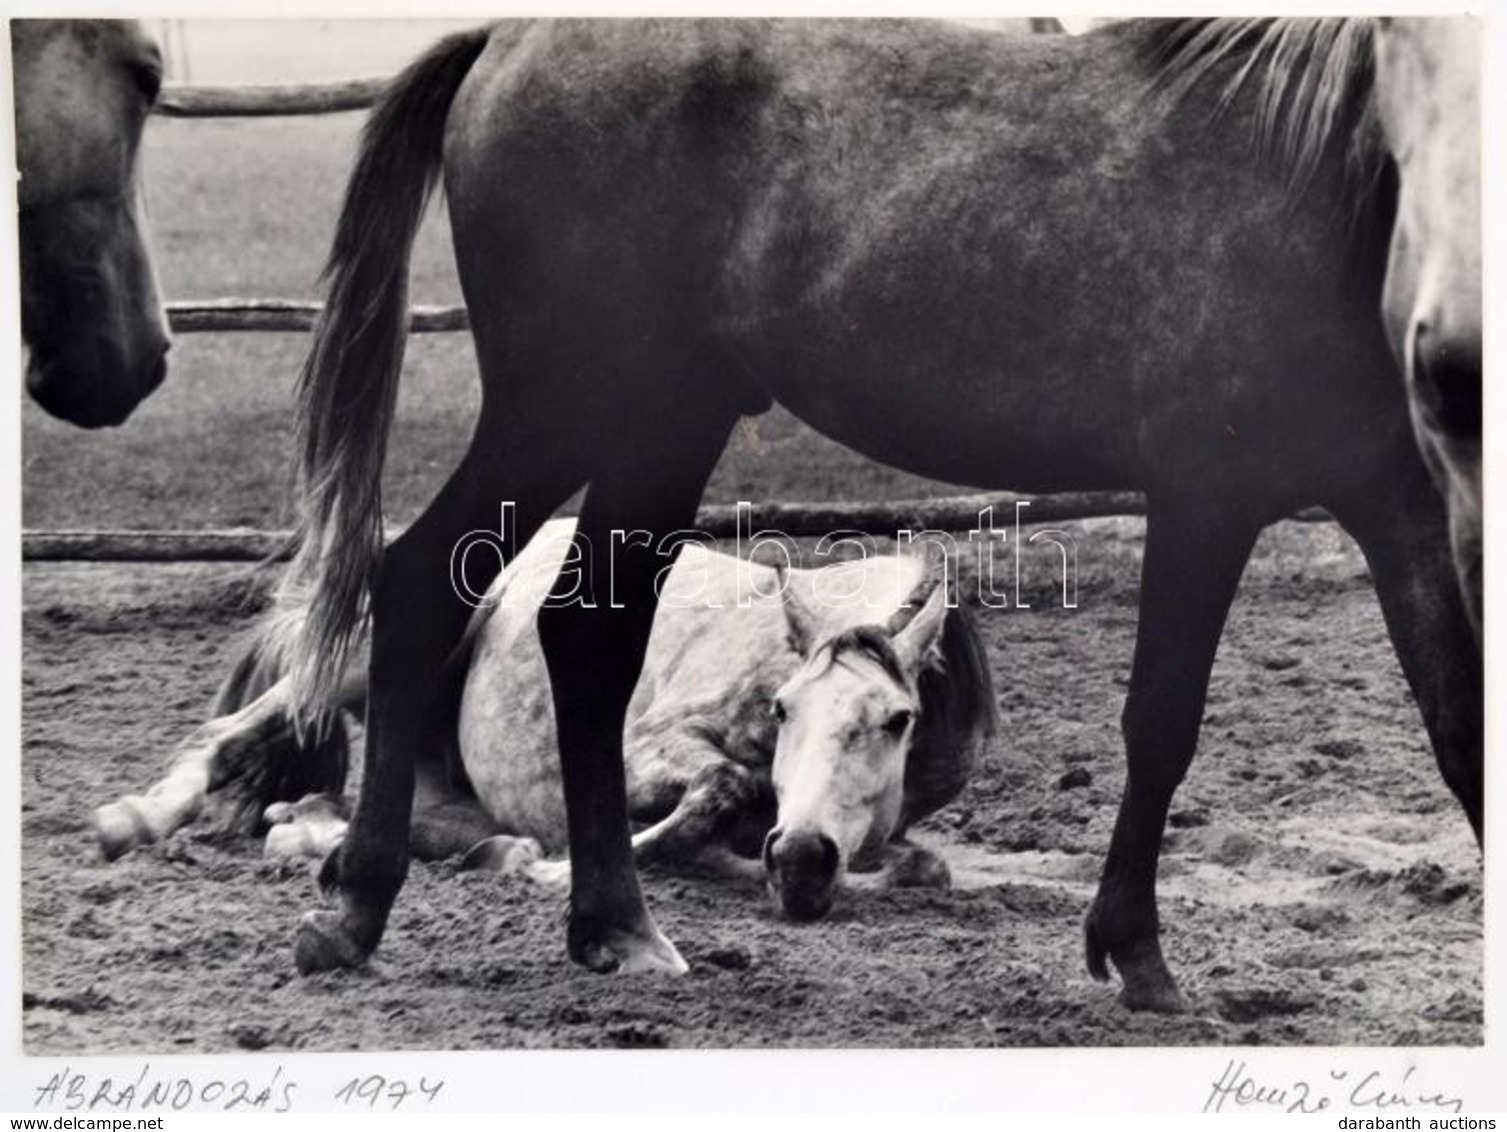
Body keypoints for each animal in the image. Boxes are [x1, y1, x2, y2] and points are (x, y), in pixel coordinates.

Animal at [91, 521, 988, 922]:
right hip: (375, 658)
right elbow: (722, 788)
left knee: (351, 811)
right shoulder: (643, 748)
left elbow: (922, 867)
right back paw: (138, 816)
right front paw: (565, 875)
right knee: (228, 736)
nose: (801, 857)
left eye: (897, 720)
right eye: (782, 708)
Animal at [265, 15, 1476, 1006]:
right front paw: (1134, 951)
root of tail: (504, 44)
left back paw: (600, 924)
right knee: (424, 586)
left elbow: (1457, 723)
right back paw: (381, 910)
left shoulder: (1401, 505)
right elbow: (1161, 725)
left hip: (660, 423)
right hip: (562, 412)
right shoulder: (1205, 500)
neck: (1320, 186)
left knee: (578, 633)